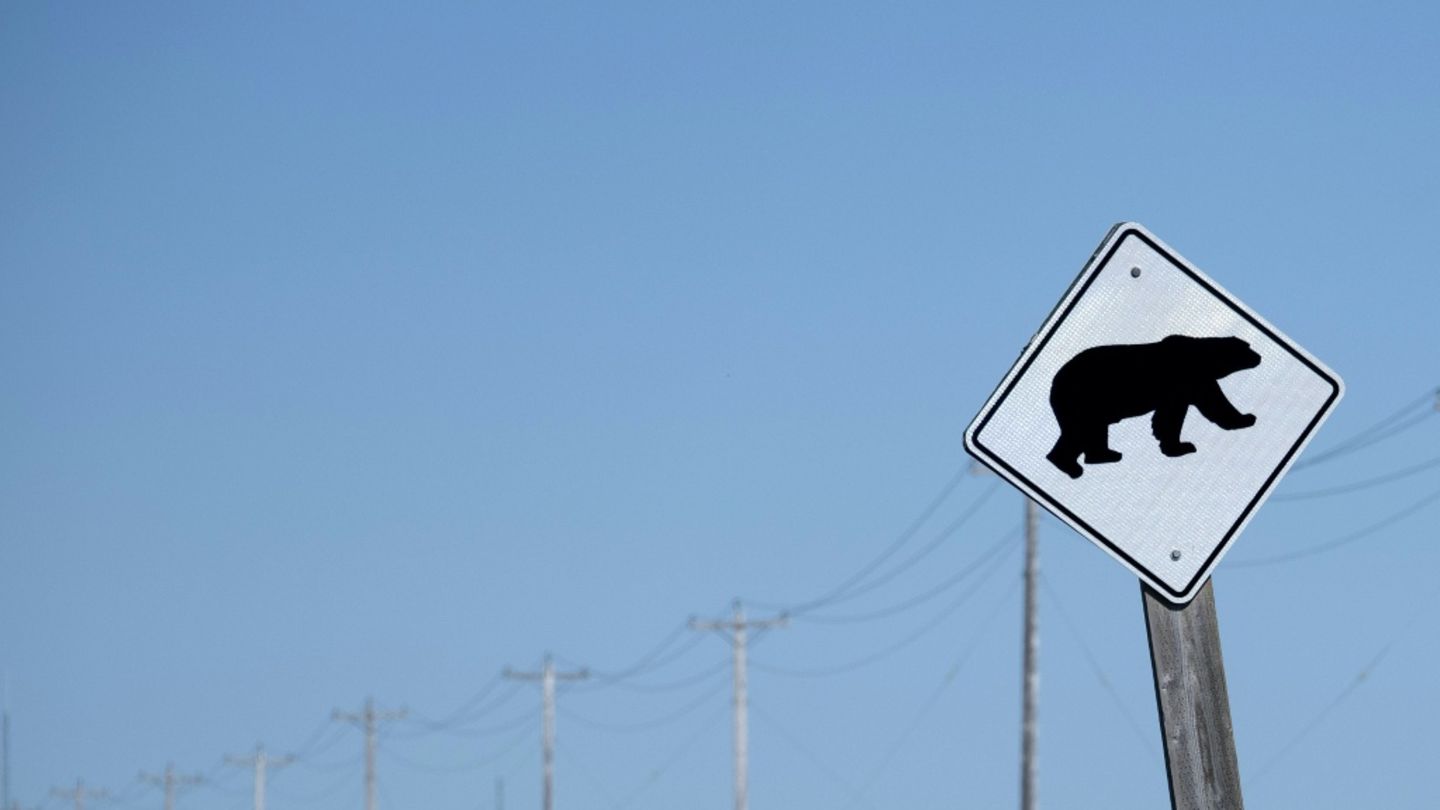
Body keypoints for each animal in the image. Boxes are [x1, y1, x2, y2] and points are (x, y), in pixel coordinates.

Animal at [1044, 334, 1261, 479]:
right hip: (1084, 398)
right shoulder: (1186, 378)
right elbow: (1193, 408)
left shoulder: (1192, 383)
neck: (1201, 358)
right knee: (1081, 429)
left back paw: (1102, 455)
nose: (1259, 356)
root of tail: (1055, 380)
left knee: (1089, 430)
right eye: (1247, 348)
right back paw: (1073, 466)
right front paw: (1181, 446)